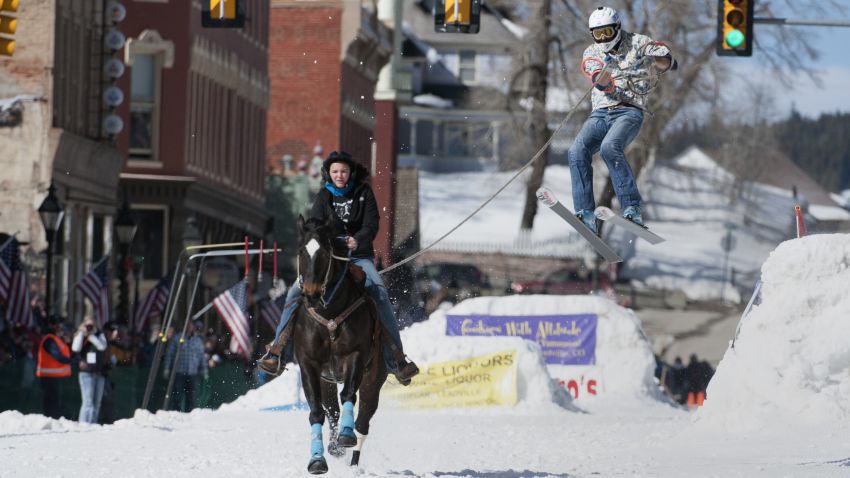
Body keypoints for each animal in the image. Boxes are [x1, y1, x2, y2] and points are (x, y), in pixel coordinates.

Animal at [290, 217, 386, 474]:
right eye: (301, 250)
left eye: (325, 252)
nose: (311, 294)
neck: (329, 315)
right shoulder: (310, 364)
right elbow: (317, 412)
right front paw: (317, 459)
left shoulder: (355, 355)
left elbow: (349, 394)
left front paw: (346, 435)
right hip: (327, 381)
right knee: (332, 410)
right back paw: (334, 447)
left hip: (374, 379)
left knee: (363, 422)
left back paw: (352, 457)